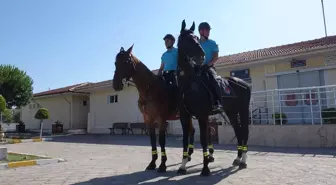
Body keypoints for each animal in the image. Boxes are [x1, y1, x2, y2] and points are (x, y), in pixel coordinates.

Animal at [113, 45, 197, 173]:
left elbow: (161, 140)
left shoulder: (161, 119)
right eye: (115, 63)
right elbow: (152, 140)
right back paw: (189, 156)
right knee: (191, 131)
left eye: (125, 61)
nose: (116, 84)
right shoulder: (148, 119)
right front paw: (152, 163)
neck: (150, 90)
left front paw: (162, 164)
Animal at [177, 19, 251, 176]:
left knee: (244, 131)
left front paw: (205, 168)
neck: (189, 83)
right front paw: (183, 166)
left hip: (243, 110)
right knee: (238, 131)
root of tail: (243, 83)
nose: (201, 55)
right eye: (187, 39)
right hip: (231, 112)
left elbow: (204, 140)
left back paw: (243, 161)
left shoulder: (202, 116)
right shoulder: (185, 117)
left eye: (196, 38)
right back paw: (237, 158)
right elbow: (185, 140)